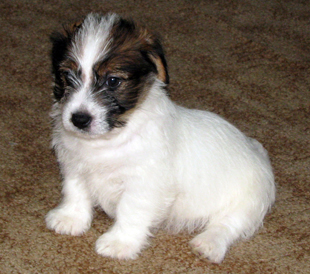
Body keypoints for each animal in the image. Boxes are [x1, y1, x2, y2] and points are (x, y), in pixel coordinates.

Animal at [44, 13, 274, 264]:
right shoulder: (74, 165)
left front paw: (119, 243)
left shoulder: (143, 185)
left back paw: (208, 244)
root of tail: (255, 150)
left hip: (248, 201)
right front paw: (70, 218)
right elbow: (75, 191)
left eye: (113, 81)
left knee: (227, 224)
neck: (108, 139)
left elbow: (130, 212)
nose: (79, 119)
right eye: (67, 76)